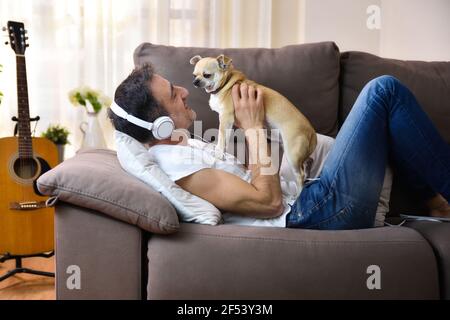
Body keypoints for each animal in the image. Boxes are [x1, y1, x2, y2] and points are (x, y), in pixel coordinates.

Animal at [190, 53, 316, 188]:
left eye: (207, 75)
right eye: (194, 75)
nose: (195, 81)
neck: (226, 84)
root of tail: (312, 133)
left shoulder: (225, 118)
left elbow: (222, 137)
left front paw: (219, 153)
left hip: (292, 152)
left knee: (300, 175)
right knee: (308, 161)